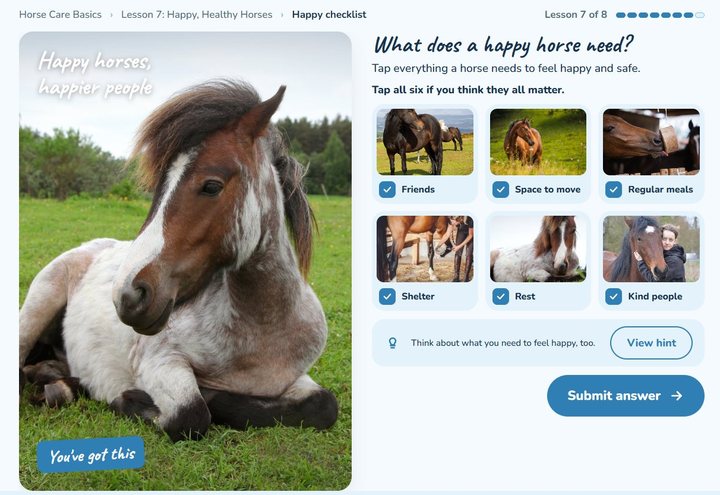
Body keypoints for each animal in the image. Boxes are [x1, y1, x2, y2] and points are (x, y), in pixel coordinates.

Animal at [19, 80, 338, 441]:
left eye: (211, 186)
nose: (128, 296)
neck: (261, 334)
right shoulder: (161, 362)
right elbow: (192, 414)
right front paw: (130, 400)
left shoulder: (296, 378)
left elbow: (324, 406)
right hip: (38, 306)